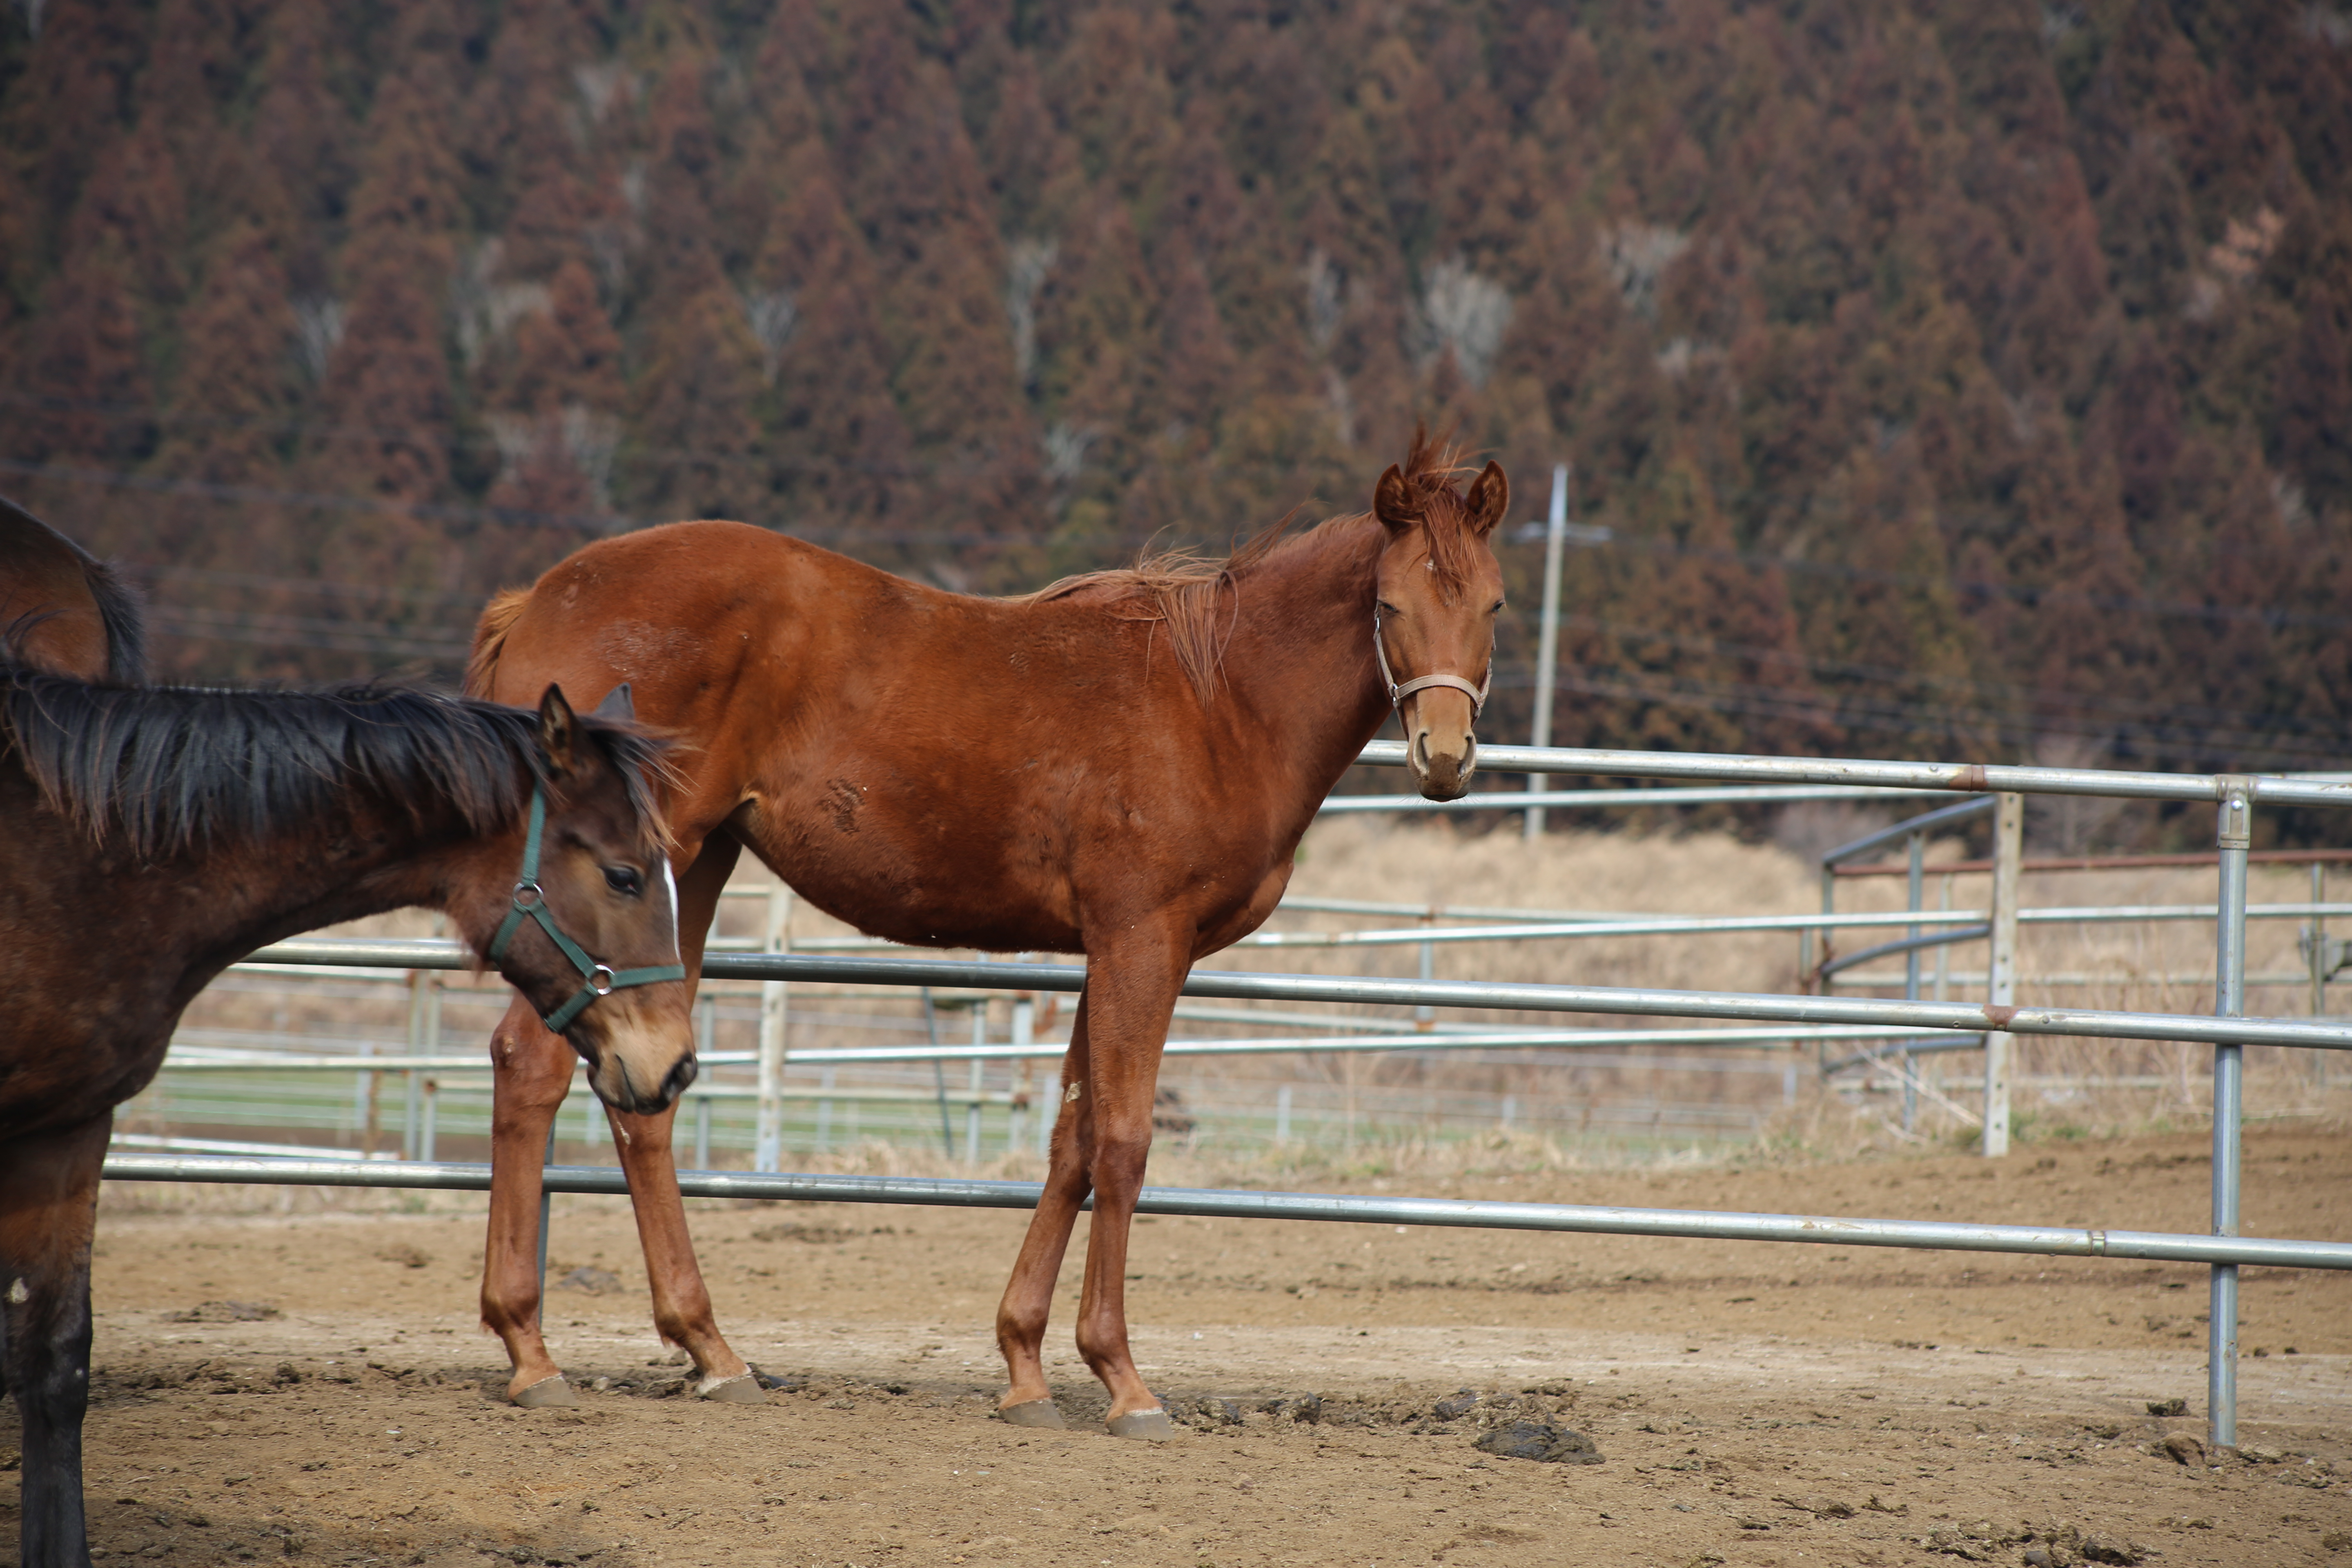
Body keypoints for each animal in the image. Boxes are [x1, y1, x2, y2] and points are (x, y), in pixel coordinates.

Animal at [468, 432, 1515, 1439]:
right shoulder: (1144, 941)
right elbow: (1123, 1142)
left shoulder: (1106, 949)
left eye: (1495, 605)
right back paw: (530, 1348)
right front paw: (1123, 1380)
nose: (1445, 759)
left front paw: (1025, 1365)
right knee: (532, 1060)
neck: (1219, 701)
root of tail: (541, 596)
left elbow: (1072, 1139)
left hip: (691, 867)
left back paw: (709, 1350)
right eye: (1388, 603)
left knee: (641, 1092)